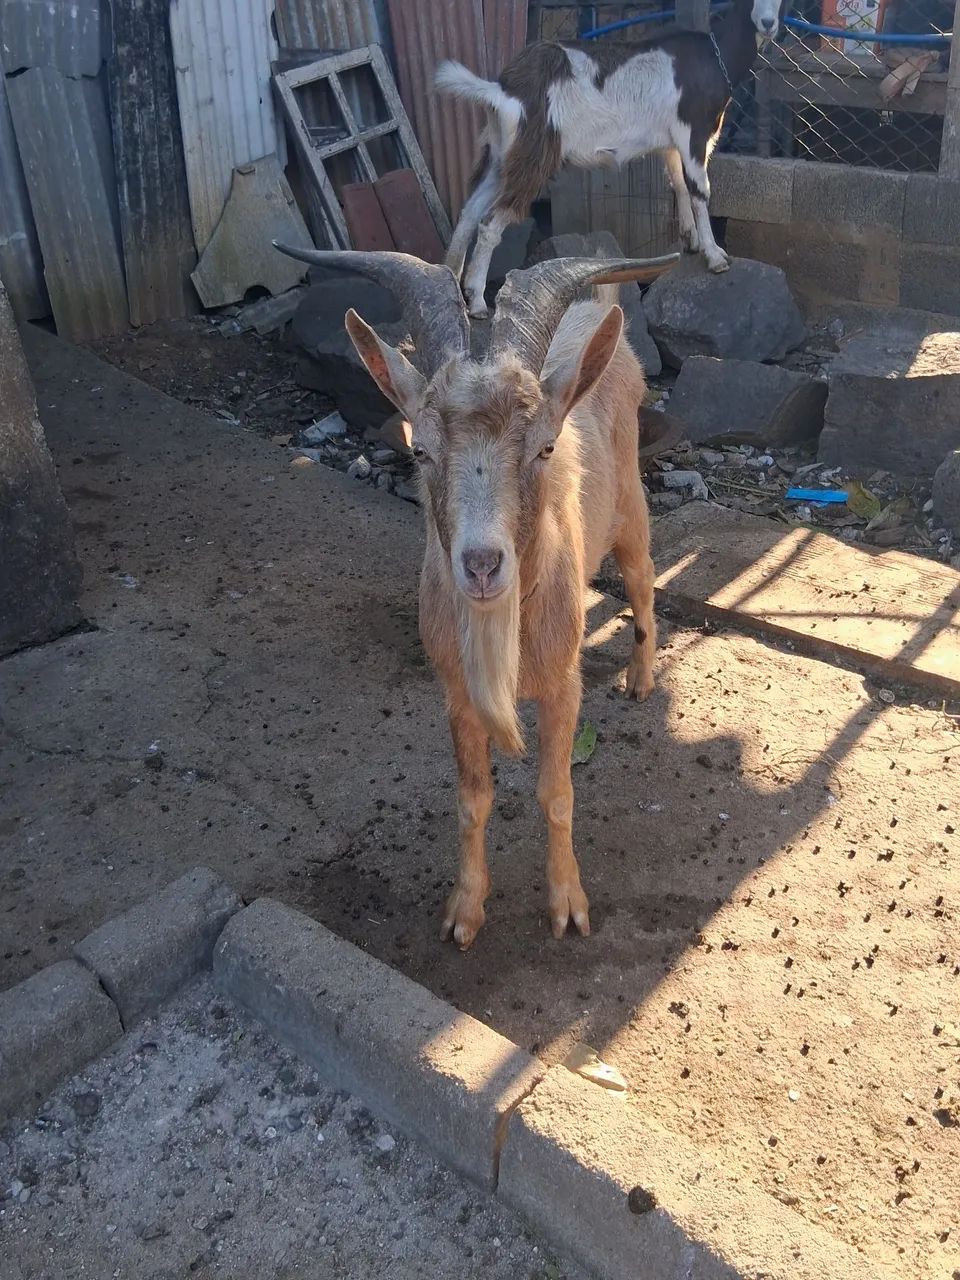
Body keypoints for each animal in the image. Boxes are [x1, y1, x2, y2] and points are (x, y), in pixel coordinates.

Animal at [275, 242, 677, 947]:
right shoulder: (457, 692)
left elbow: (556, 792)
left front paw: (568, 905)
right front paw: (465, 912)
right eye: (422, 452)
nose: (483, 565)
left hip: (630, 508)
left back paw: (639, 678)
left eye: (545, 447)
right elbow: (472, 798)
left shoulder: (563, 683)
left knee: (642, 578)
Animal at [436, 0, 788, 315]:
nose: (768, 23)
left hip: (502, 155)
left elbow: (678, 184)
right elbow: (700, 190)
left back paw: (451, 279)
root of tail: (504, 89)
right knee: (490, 223)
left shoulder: (672, 142)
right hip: (533, 155)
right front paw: (715, 257)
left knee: (470, 212)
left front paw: (692, 241)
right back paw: (478, 303)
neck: (715, 58)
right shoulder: (694, 131)